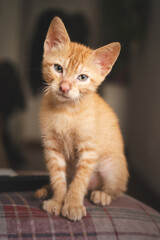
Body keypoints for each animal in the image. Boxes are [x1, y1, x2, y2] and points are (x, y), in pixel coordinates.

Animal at [35, 16, 129, 221]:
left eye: (83, 77)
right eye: (58, 68)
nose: (64, 87)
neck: (66, 110)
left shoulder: (89, 150)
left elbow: (79, 181)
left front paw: (72, 205)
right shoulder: (53, 148)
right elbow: (58, 178)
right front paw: (58, 201)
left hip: (112, 166)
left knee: (115, 189)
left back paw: (102, 194)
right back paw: (45, 190)